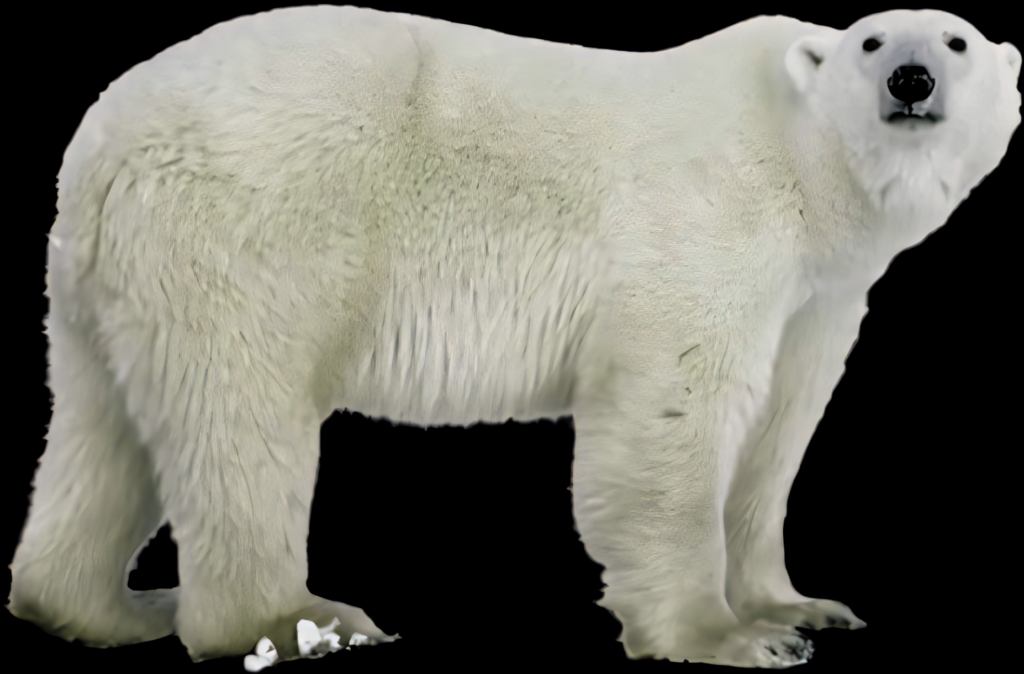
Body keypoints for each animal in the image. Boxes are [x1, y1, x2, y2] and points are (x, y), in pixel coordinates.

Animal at [7, 5, 1019, 669]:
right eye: (872, 41)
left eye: (958, 42)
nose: (912, 81)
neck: (805, 167)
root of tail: (103, 134)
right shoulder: (708, 211)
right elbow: (673, 402)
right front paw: (732, 636)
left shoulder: (819, 296)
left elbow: (778, 432)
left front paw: (801, 605)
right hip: (256, 225)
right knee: (243, 414)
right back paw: (297, 621)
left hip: (108, 278)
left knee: (104, 429)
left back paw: (109, 607)